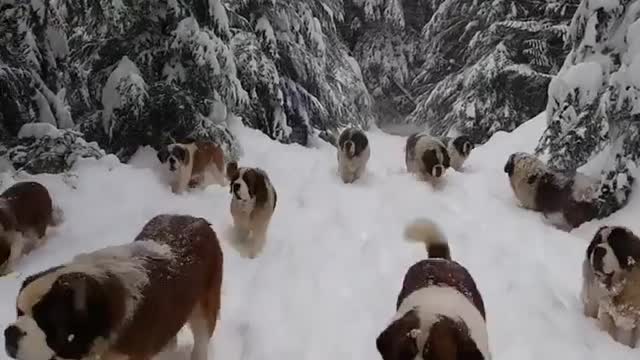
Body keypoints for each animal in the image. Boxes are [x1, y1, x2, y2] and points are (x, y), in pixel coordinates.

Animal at [3, 214, 222, 360]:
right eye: (18, 312)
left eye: (46, 321)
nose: (9, 333)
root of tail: (197, 220)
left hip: (204, 309)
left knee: (201, 339)